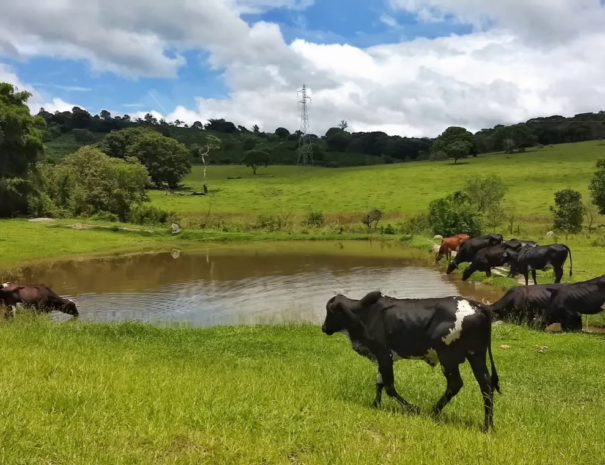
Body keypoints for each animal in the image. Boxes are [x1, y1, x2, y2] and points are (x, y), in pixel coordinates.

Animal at [324, 290, 498, 432]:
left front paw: (413, 409)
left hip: (448, 357)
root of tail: (478, 305)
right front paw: (375, 405)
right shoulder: (382, 358)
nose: (323, 328)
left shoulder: (384, 355)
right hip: (476, 355)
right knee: (486, 385)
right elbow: (379, 382)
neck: (365, 314)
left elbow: (389, 387)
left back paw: (433, 412)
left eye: (330, 312)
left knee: (455, 384)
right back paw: (487, 426)